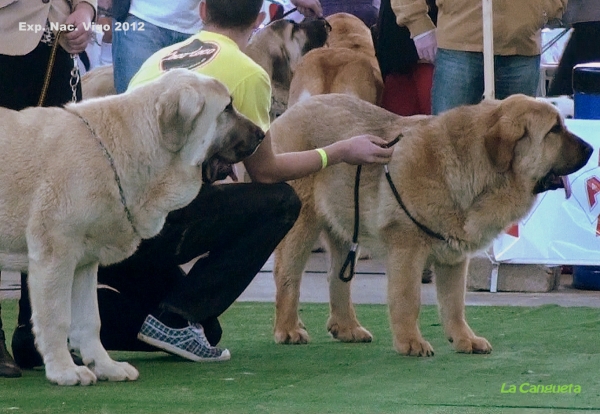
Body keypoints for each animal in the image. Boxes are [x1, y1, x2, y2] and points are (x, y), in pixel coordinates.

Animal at [0, 68, 264, 384]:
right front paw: (64, 371)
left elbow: (90, 321)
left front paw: (104, 366)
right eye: (227, 108)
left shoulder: (83, 263)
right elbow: (57, 318)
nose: (262, 135)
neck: (119, 147)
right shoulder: (56, 256)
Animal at [270, 93, 592, 356]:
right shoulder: (407, 249)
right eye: (554, 130)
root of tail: (290, 111)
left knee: (337, 279)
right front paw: (410, 343)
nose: (591, 149)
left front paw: (464, 340)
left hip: (347, 228)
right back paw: (288, 329)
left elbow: (454, 303)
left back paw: (347, 328)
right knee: (288, 277)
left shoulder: (454, 257)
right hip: (302, 225)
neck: (476, 168)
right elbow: (408, 298)